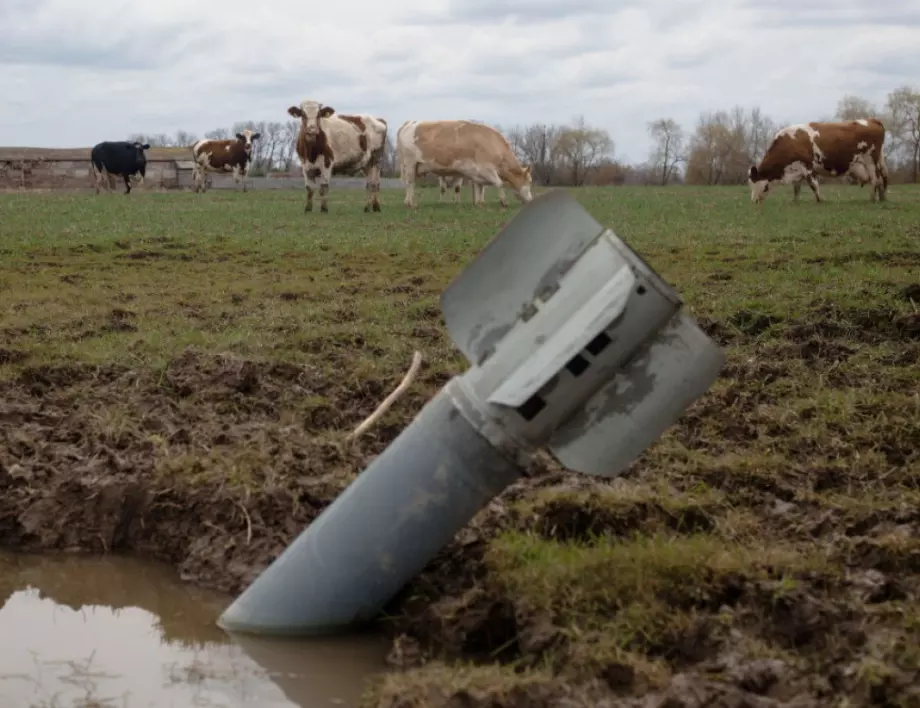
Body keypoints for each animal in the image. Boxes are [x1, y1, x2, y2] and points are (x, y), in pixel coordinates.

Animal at [396, 118, 532, 207]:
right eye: (530, 181)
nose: (531, 199)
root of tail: (410, 123)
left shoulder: (477, 174)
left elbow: (479, 187)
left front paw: (479, 203)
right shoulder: (486, 169)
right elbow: (499, 183)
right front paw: (504, 201)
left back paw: (408, 201)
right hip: (410, 164)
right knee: (410, 183)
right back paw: (411, 203)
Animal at [748, 117, 892, 203]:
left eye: (762, 186)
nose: (754, 201)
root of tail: (871, 120)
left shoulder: (807, 167)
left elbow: (814, 185)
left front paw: (820, 199)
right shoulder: (797, 169)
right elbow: (796, 188)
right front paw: (795, 201)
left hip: (870, 160)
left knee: (875, 180)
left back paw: (872, 199)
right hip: (876, 161)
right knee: (881, 179)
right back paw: (882, 198)